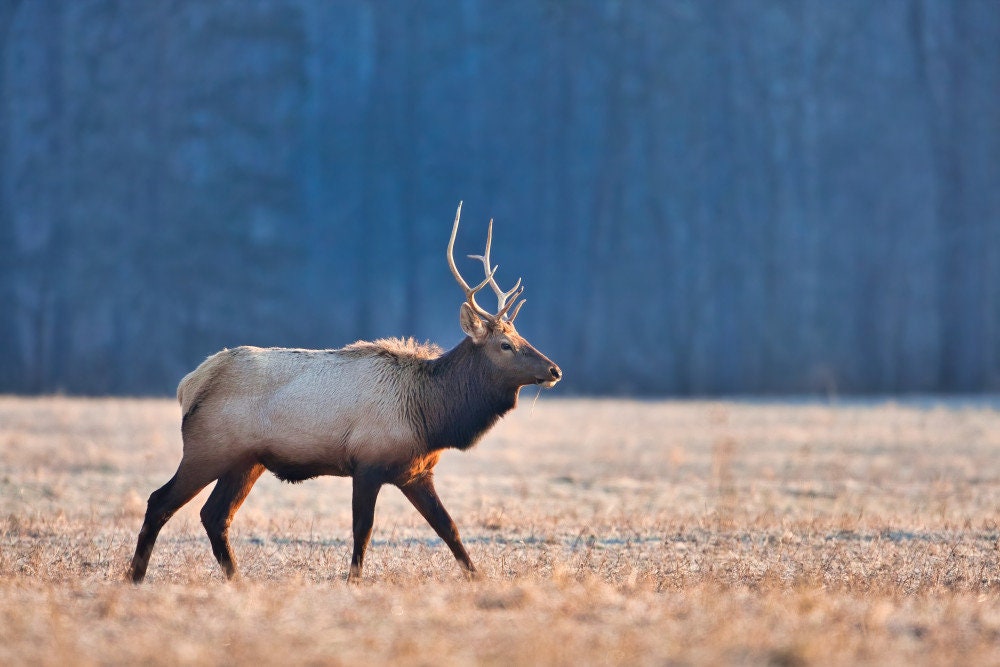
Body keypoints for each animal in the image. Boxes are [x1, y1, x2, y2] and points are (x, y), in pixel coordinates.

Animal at [126, 204, 564, 584]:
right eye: (505, 345)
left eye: (521, 336)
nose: (554, 370)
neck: (431, 415)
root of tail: (190, 384)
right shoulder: (368, 463)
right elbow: (363, 530)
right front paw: (353, 581)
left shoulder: (417, 471)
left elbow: (449, 528)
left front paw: (478, 577)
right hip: (208, 450)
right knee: (160, 501)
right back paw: (135, 577)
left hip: (245, 461)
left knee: (214, 515)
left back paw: (236, 580)